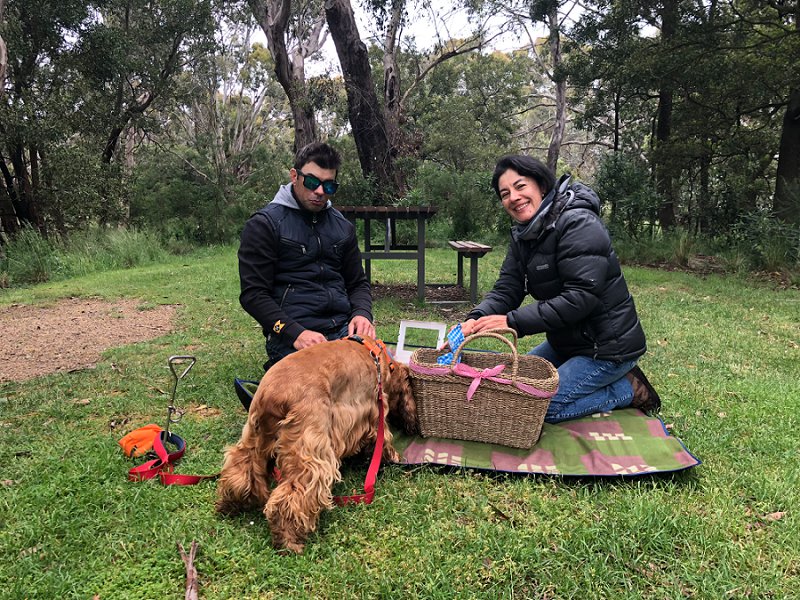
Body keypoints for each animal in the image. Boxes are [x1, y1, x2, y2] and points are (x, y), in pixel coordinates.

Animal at [217, 336, 418, 552]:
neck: (381, 363)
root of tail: (270, 397)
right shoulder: (373, 413)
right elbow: (384, 439)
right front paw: (393, 457)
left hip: (254, 439)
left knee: (240, 471)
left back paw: (229, 505)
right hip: (310, 448)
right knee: (291, 496)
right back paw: (289, 540)